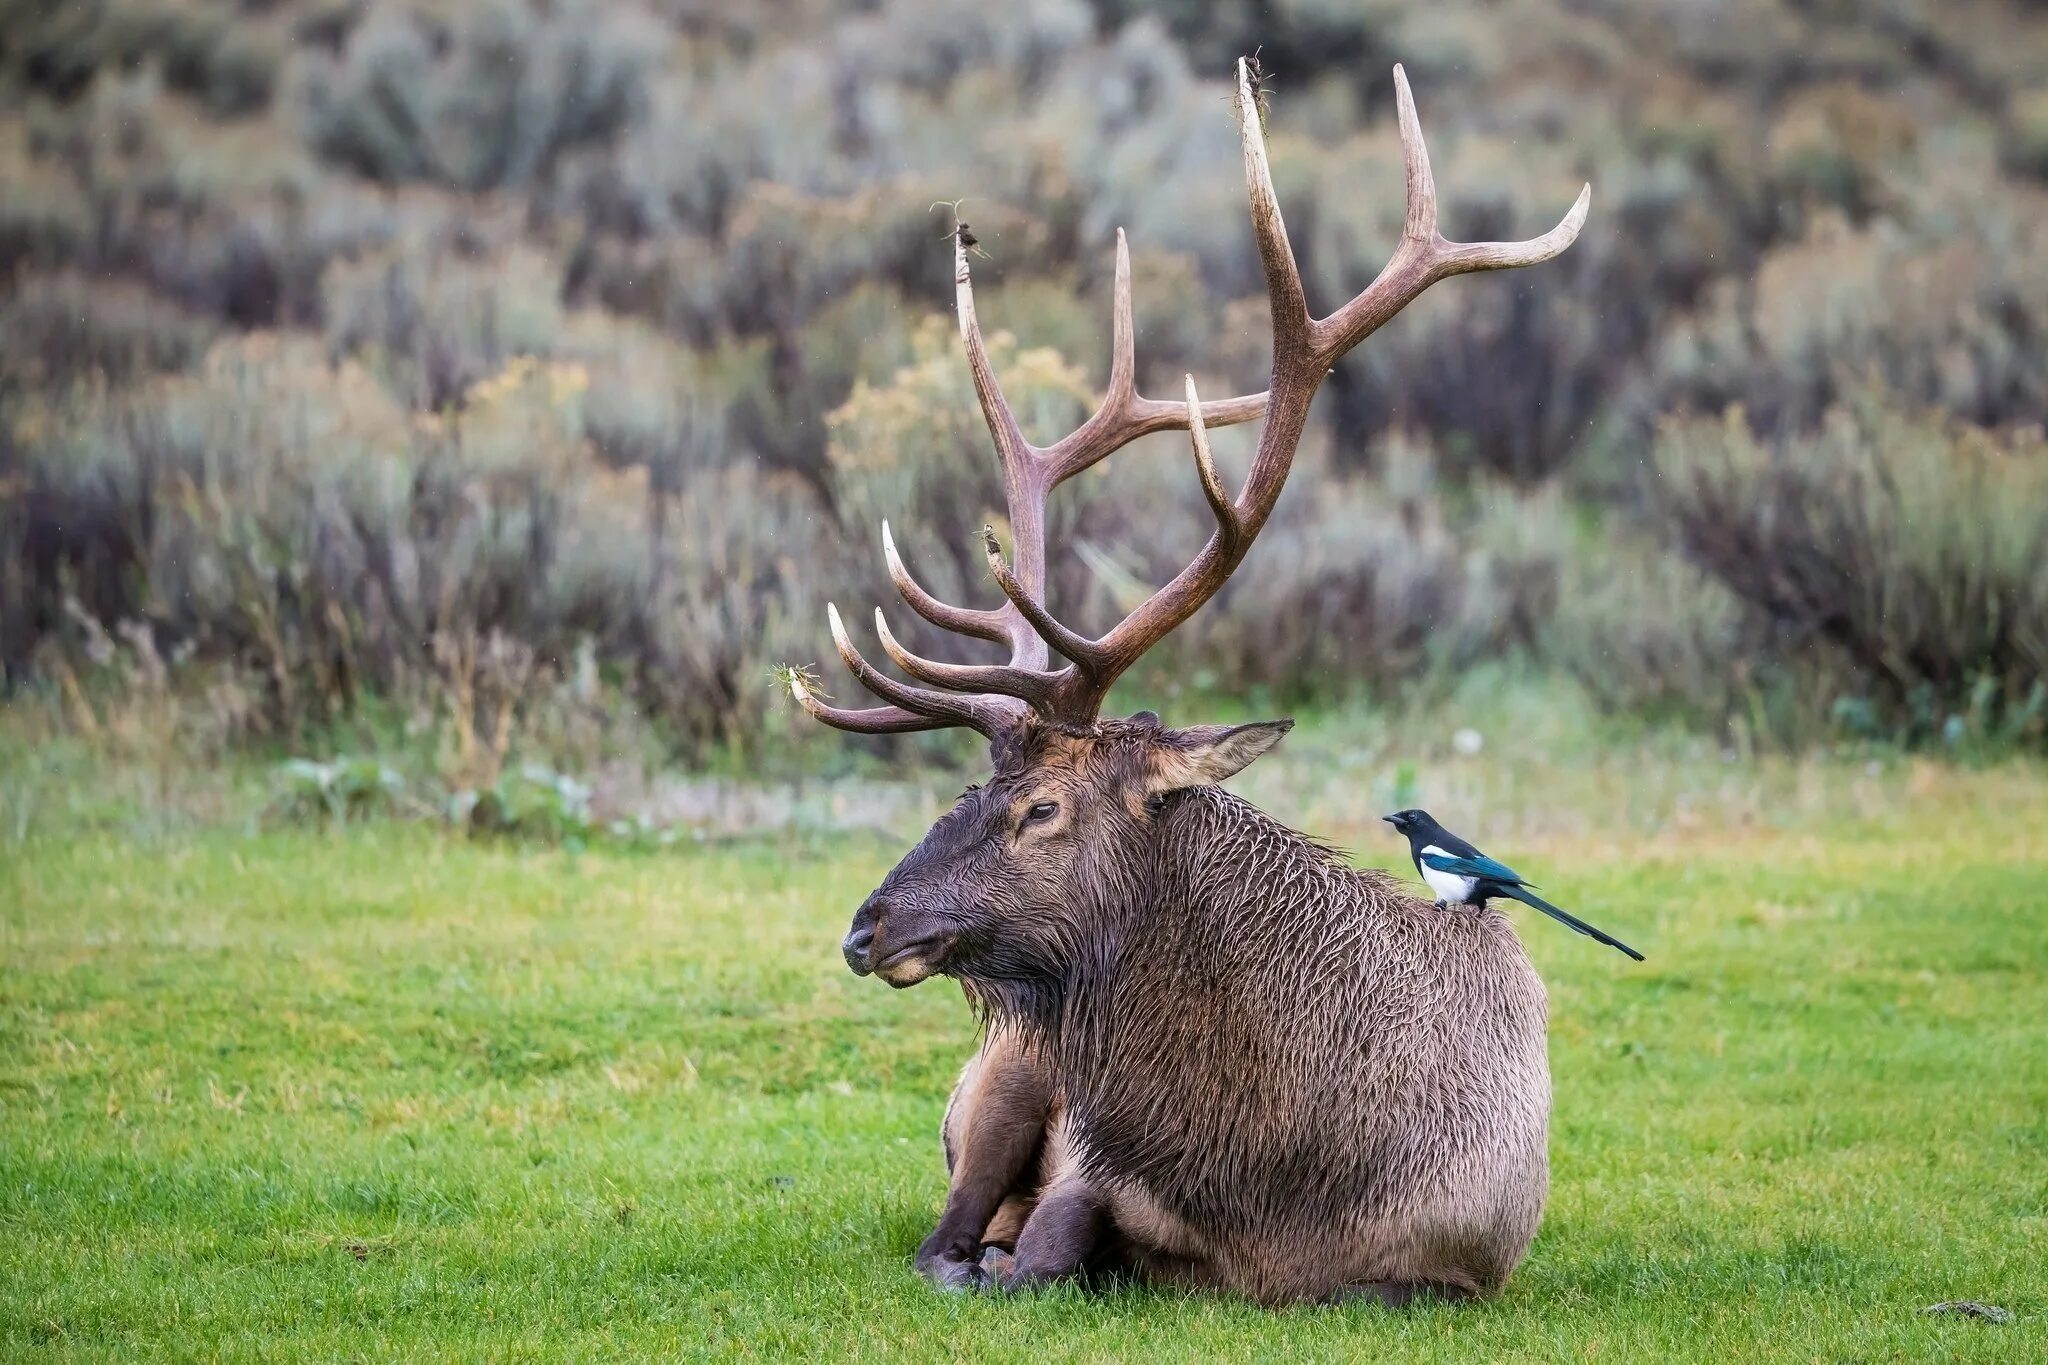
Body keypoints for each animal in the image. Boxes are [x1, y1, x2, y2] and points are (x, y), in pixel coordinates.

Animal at [782, 58, 1581, 1309]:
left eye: (1038, 809)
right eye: (956, 795)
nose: (866, 929)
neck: (1271, 1178)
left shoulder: (1453, 1270)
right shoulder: (1092, 1167)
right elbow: (1039, 1248)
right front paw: (1004, 1258)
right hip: (1004, 1077)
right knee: (943, 1228)